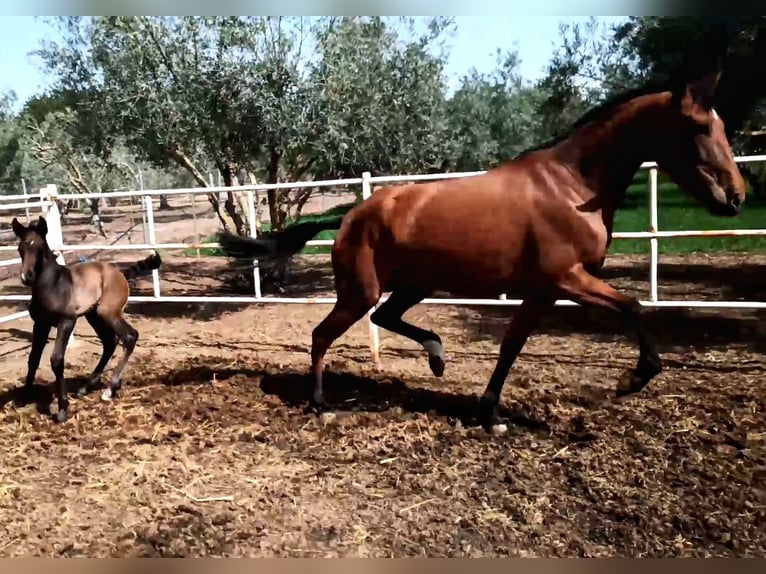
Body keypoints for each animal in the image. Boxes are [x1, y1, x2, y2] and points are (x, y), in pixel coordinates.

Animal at [10, 216, 164, 424]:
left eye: (40, 247)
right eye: (20, 248)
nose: (26, 276)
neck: (52, 285)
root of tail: (120, 274)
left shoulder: (66, 322)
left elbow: (56, 359)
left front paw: (62, 409)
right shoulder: (40, 324)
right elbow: (33, 358)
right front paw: (24, 397)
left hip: (109, 313)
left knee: (130, 336)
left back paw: (109, 389)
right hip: (94, 316)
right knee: (110, 342)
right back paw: (86, 387)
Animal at [219, 70, 748, 432]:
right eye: (699, 128)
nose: (736, 197)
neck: (572, 186)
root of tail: (351, 213)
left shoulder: (544, 291)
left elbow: (511, 345)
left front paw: (491, 414)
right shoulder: (568, 278)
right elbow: (634, 306)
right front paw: (631, 381)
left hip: (415, 285)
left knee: (386, 318)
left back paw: (436, 357)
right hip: (360, 291)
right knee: (322, 334)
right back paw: (321, 404)